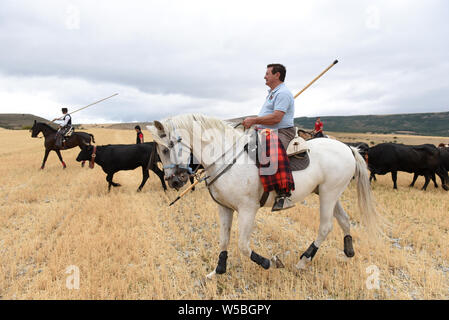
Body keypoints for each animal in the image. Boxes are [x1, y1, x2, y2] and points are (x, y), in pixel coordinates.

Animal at [147, 114, 378, 278]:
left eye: (167, 148)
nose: (173, 181)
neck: (226, 158)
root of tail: (348, 148)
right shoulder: (224, 208)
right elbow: (223, 240)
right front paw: (218, 270)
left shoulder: (248, 209)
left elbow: (242, 245)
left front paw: (270, 262)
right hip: (329, 192)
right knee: (344, 220)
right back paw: (348, 253)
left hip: (329, 194)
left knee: (326, 226)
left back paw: (303, 261)